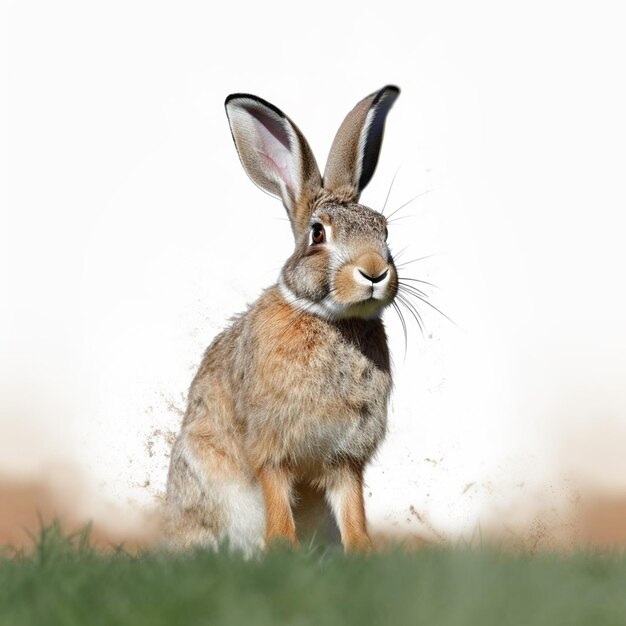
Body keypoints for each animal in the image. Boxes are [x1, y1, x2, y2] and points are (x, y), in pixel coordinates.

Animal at [163, 84, 400, 552]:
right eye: (317, 233)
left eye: (385, 231)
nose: (374, 271)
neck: (332, 321)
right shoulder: (271, 447)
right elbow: (276, 500)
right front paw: (283, 549)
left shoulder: (345, 457)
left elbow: (352, 510)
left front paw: (361, 551)